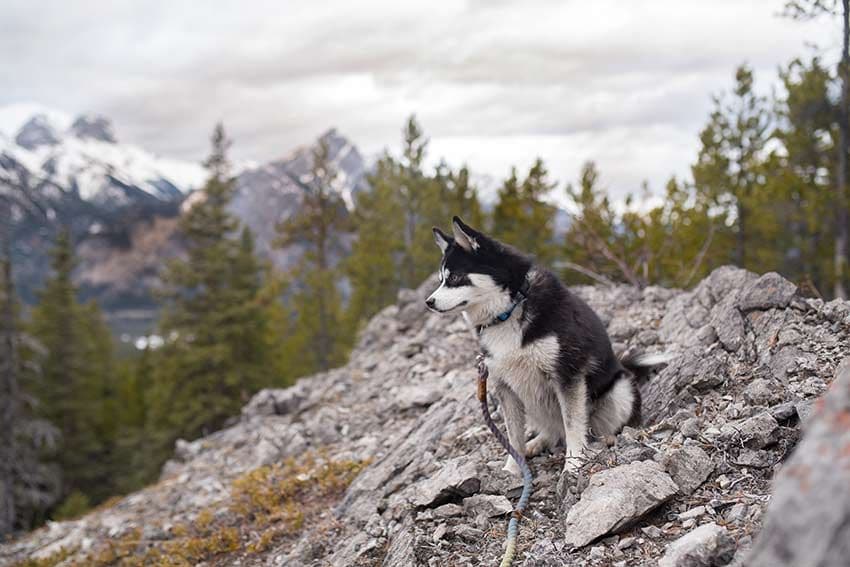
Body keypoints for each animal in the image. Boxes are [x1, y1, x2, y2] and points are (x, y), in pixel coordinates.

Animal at [424, 217, 668, 474]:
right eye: (441, 280)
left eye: (454, 278)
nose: (428, 302)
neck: (510, 310)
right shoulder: (505, 386)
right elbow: (514, 435)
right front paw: (513, 468)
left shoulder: (567, 376)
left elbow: (572, 424)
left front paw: (573, 463)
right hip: (533, 401)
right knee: (554, 431)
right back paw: (536, 443)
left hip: (619, 391)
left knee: (598, 428)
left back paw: (605, 440)